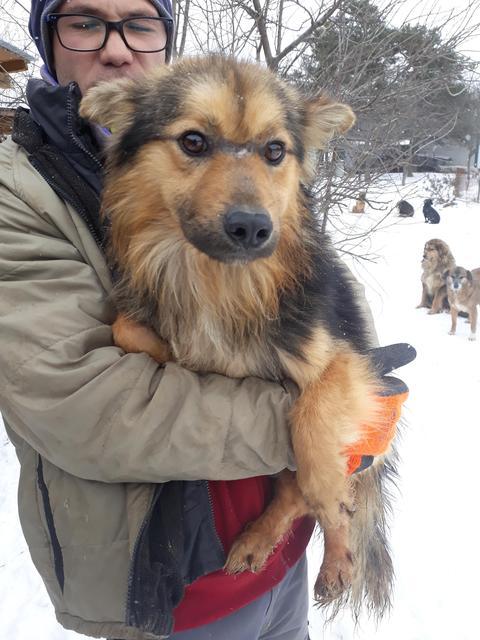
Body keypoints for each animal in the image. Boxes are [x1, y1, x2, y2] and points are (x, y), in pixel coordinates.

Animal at [80, 56, 398, 620]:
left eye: (274, 150)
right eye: (193, 142)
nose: (252, 227)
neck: (221, 282)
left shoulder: (348, 362)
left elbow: (314, 431)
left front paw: (330, 502)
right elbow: (128, 327)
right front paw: (171, 351)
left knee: (306, 490)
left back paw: (331, 556)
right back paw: (259, 540)